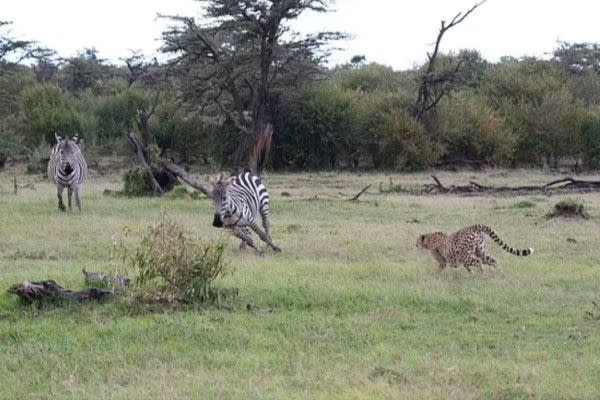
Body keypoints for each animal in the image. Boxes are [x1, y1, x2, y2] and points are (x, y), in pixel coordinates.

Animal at [211, 123, 282, 252]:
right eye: (212, 198)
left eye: (224, 198)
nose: (217, 222)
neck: (229, 214)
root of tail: (251, 174)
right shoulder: (231, 229)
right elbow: (248, 238)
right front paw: (258, 250)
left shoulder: (250, 220)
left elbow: (261, 234)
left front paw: (272, 247)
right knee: (248, 233)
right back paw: (244, 246)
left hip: (264, 206)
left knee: (266, 225)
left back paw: (269, 243)